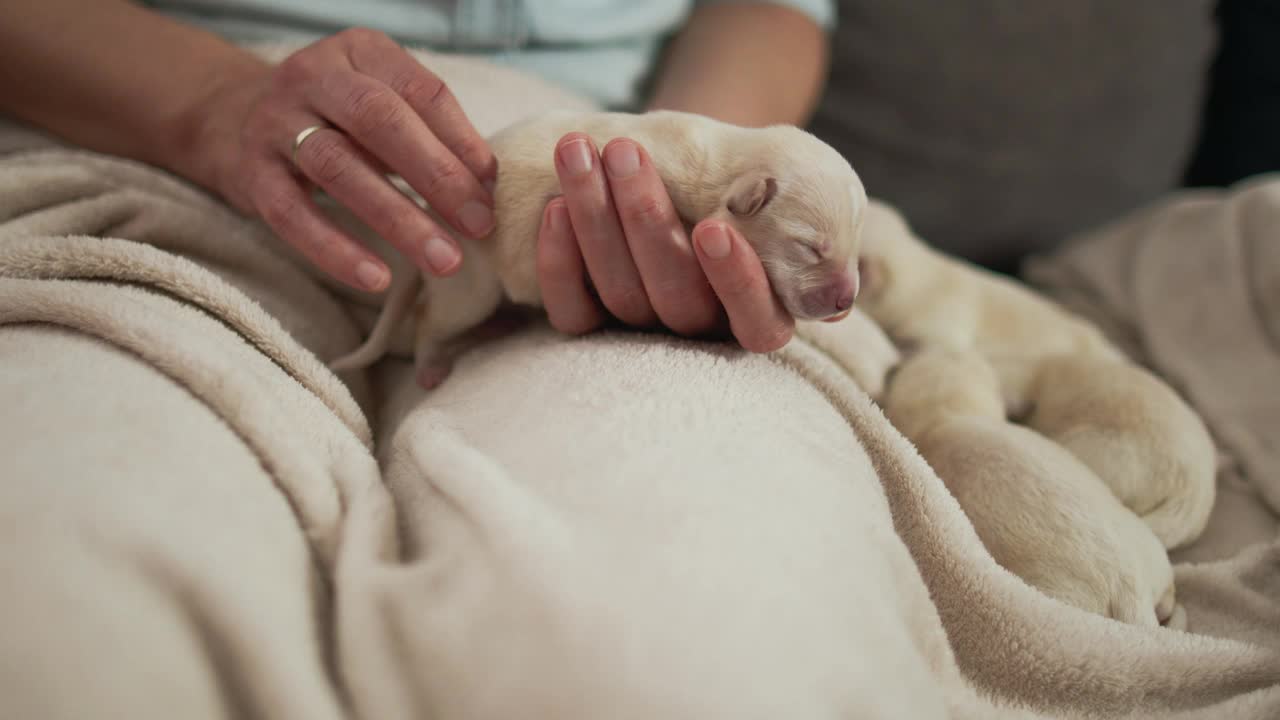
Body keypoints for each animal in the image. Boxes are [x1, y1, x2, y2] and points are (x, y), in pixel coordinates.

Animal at [330, 107, 870, 386]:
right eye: (810, 248)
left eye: (854, 250)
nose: (846, 301)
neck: (725, 168)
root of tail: (431, 216)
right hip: (470, 282)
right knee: (430, 319)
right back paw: (430, 365)